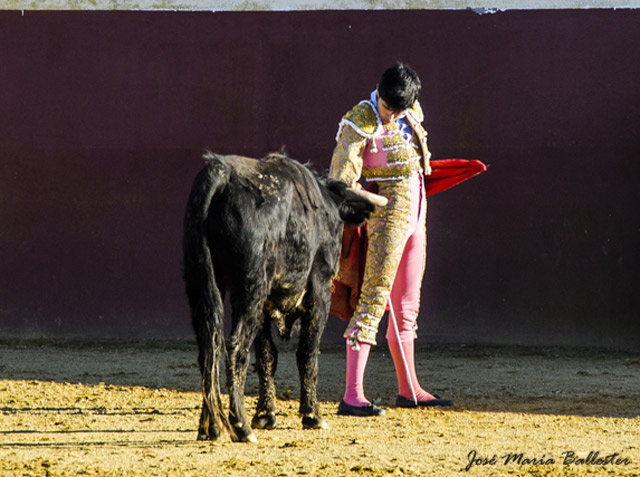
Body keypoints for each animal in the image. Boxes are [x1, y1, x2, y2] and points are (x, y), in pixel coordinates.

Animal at [182, 151, 382, 440]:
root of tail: (220, 172)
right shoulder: (319, 289)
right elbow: (307, 351)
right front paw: (312, 415)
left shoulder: (265, 304)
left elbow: (267, 354)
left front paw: (265, 414)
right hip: (252, 287)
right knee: (236, 345)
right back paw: (240, 425)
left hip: (204, 281)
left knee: (209, 344)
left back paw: (210, 426)